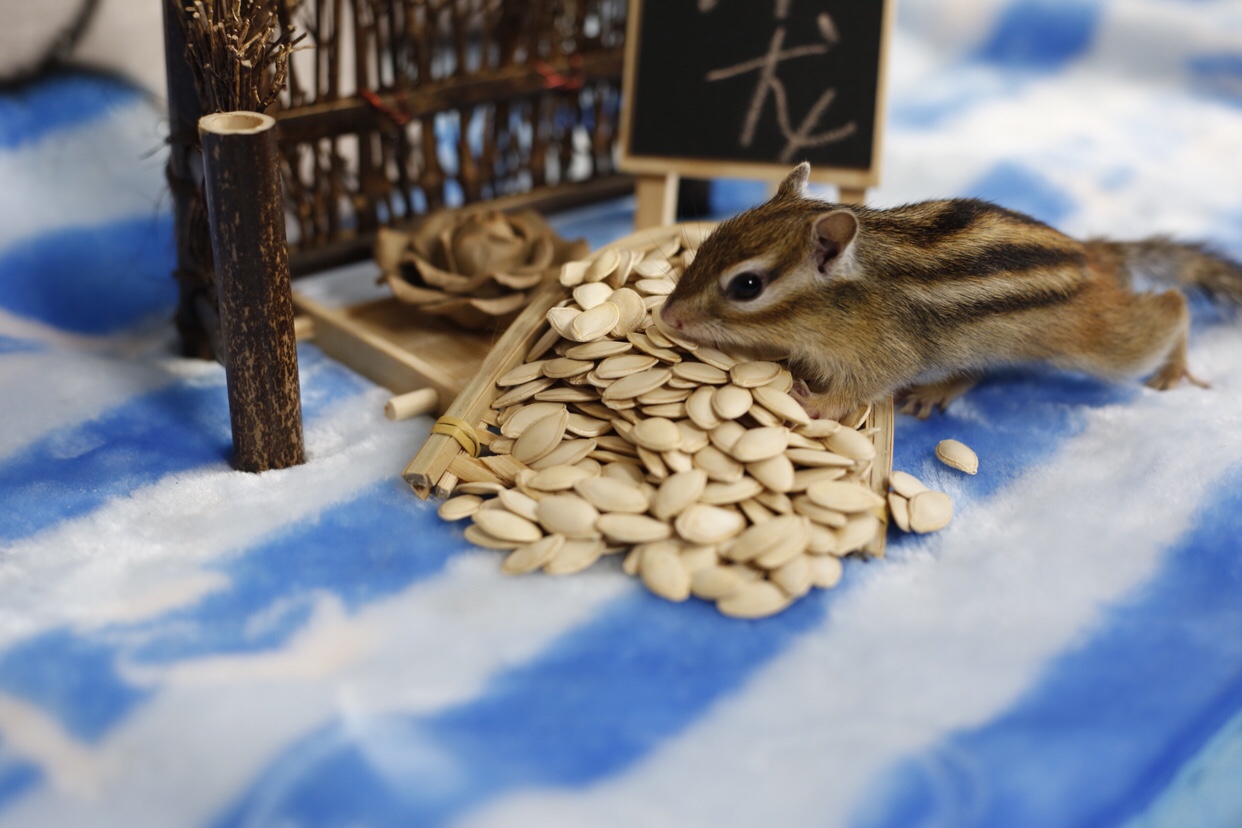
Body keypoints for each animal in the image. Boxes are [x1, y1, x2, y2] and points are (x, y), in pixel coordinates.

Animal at [659, 162, 1242, 420]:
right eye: (709, 238)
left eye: (747, 285)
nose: (668, 317)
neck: (844, 300)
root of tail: (1090, 254)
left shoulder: (881, 354)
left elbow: (858, 391)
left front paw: (812, 400)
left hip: (1095, 340)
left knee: (1170, 307)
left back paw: (1174, 367)